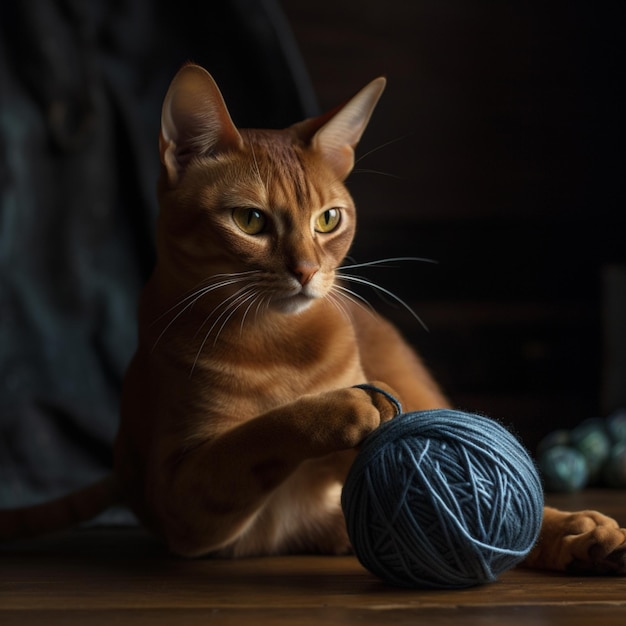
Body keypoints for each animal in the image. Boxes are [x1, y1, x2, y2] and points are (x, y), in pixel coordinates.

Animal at [1, 62, 624, 572]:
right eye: (250, 220)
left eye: (328, 219)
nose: (305, 271)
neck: (278, 343)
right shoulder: (182, 497)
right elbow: (255, 433)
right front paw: (343, 407)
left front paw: (561, 527)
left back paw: (582, 532)